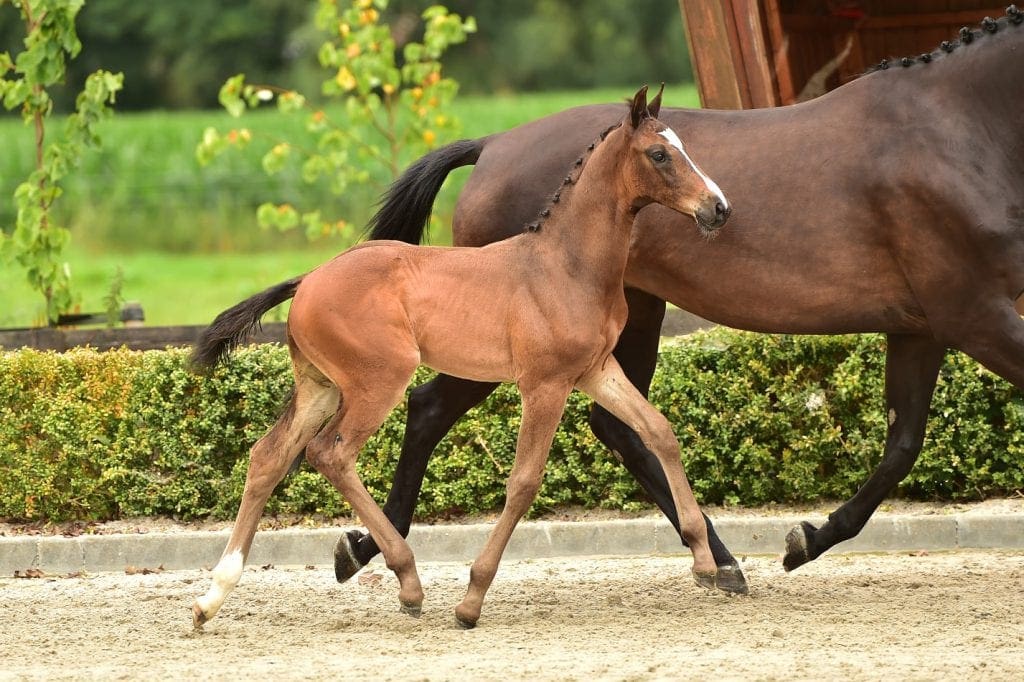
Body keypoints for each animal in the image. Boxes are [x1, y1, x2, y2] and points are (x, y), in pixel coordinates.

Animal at [189, 85, 730, 629]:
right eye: (659, 154)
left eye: (683, 146)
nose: (718, 207)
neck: (565, 266)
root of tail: (307, 280)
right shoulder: (545, 384)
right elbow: (524, 482)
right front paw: (472, 599)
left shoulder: (596, 371)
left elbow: (660, 430)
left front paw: (707, 563)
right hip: (377, 382)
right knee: (330, 454)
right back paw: (408, 582)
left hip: (320, 387)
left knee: (268, 456)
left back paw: (212, 596)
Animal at [331, 7, 1024, 595]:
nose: (717, 209)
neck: (955, 128)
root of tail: (493, 144)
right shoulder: (975, 315)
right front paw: (803, 541)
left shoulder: (924, 325)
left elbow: (902, 443)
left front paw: (806, 539)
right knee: (431, 408)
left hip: (631, 317)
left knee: (610, 426)